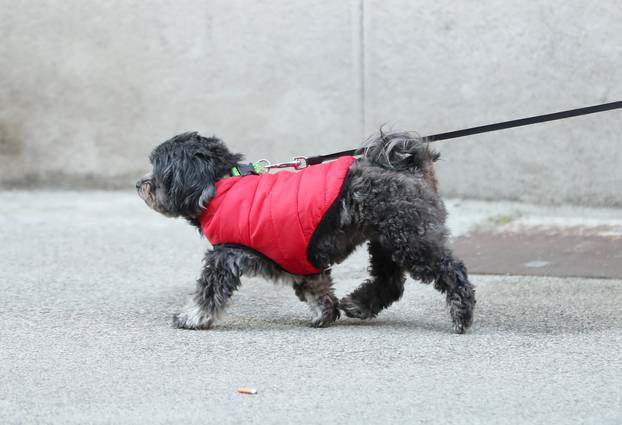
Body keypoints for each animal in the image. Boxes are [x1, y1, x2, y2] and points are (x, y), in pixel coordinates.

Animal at [138, 129, 478, 332]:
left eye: (158, 170)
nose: (141, 184)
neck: (220, 185)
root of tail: (409, 167)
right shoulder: (297, 256)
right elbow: (317, 286)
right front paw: (324, 313)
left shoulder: (227, 255)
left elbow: (208, 290)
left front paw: (192, 317)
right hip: (386, 240)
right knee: (390, 282)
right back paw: (358, 305)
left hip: (410, 239)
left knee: (451, 270)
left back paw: (462, 313)